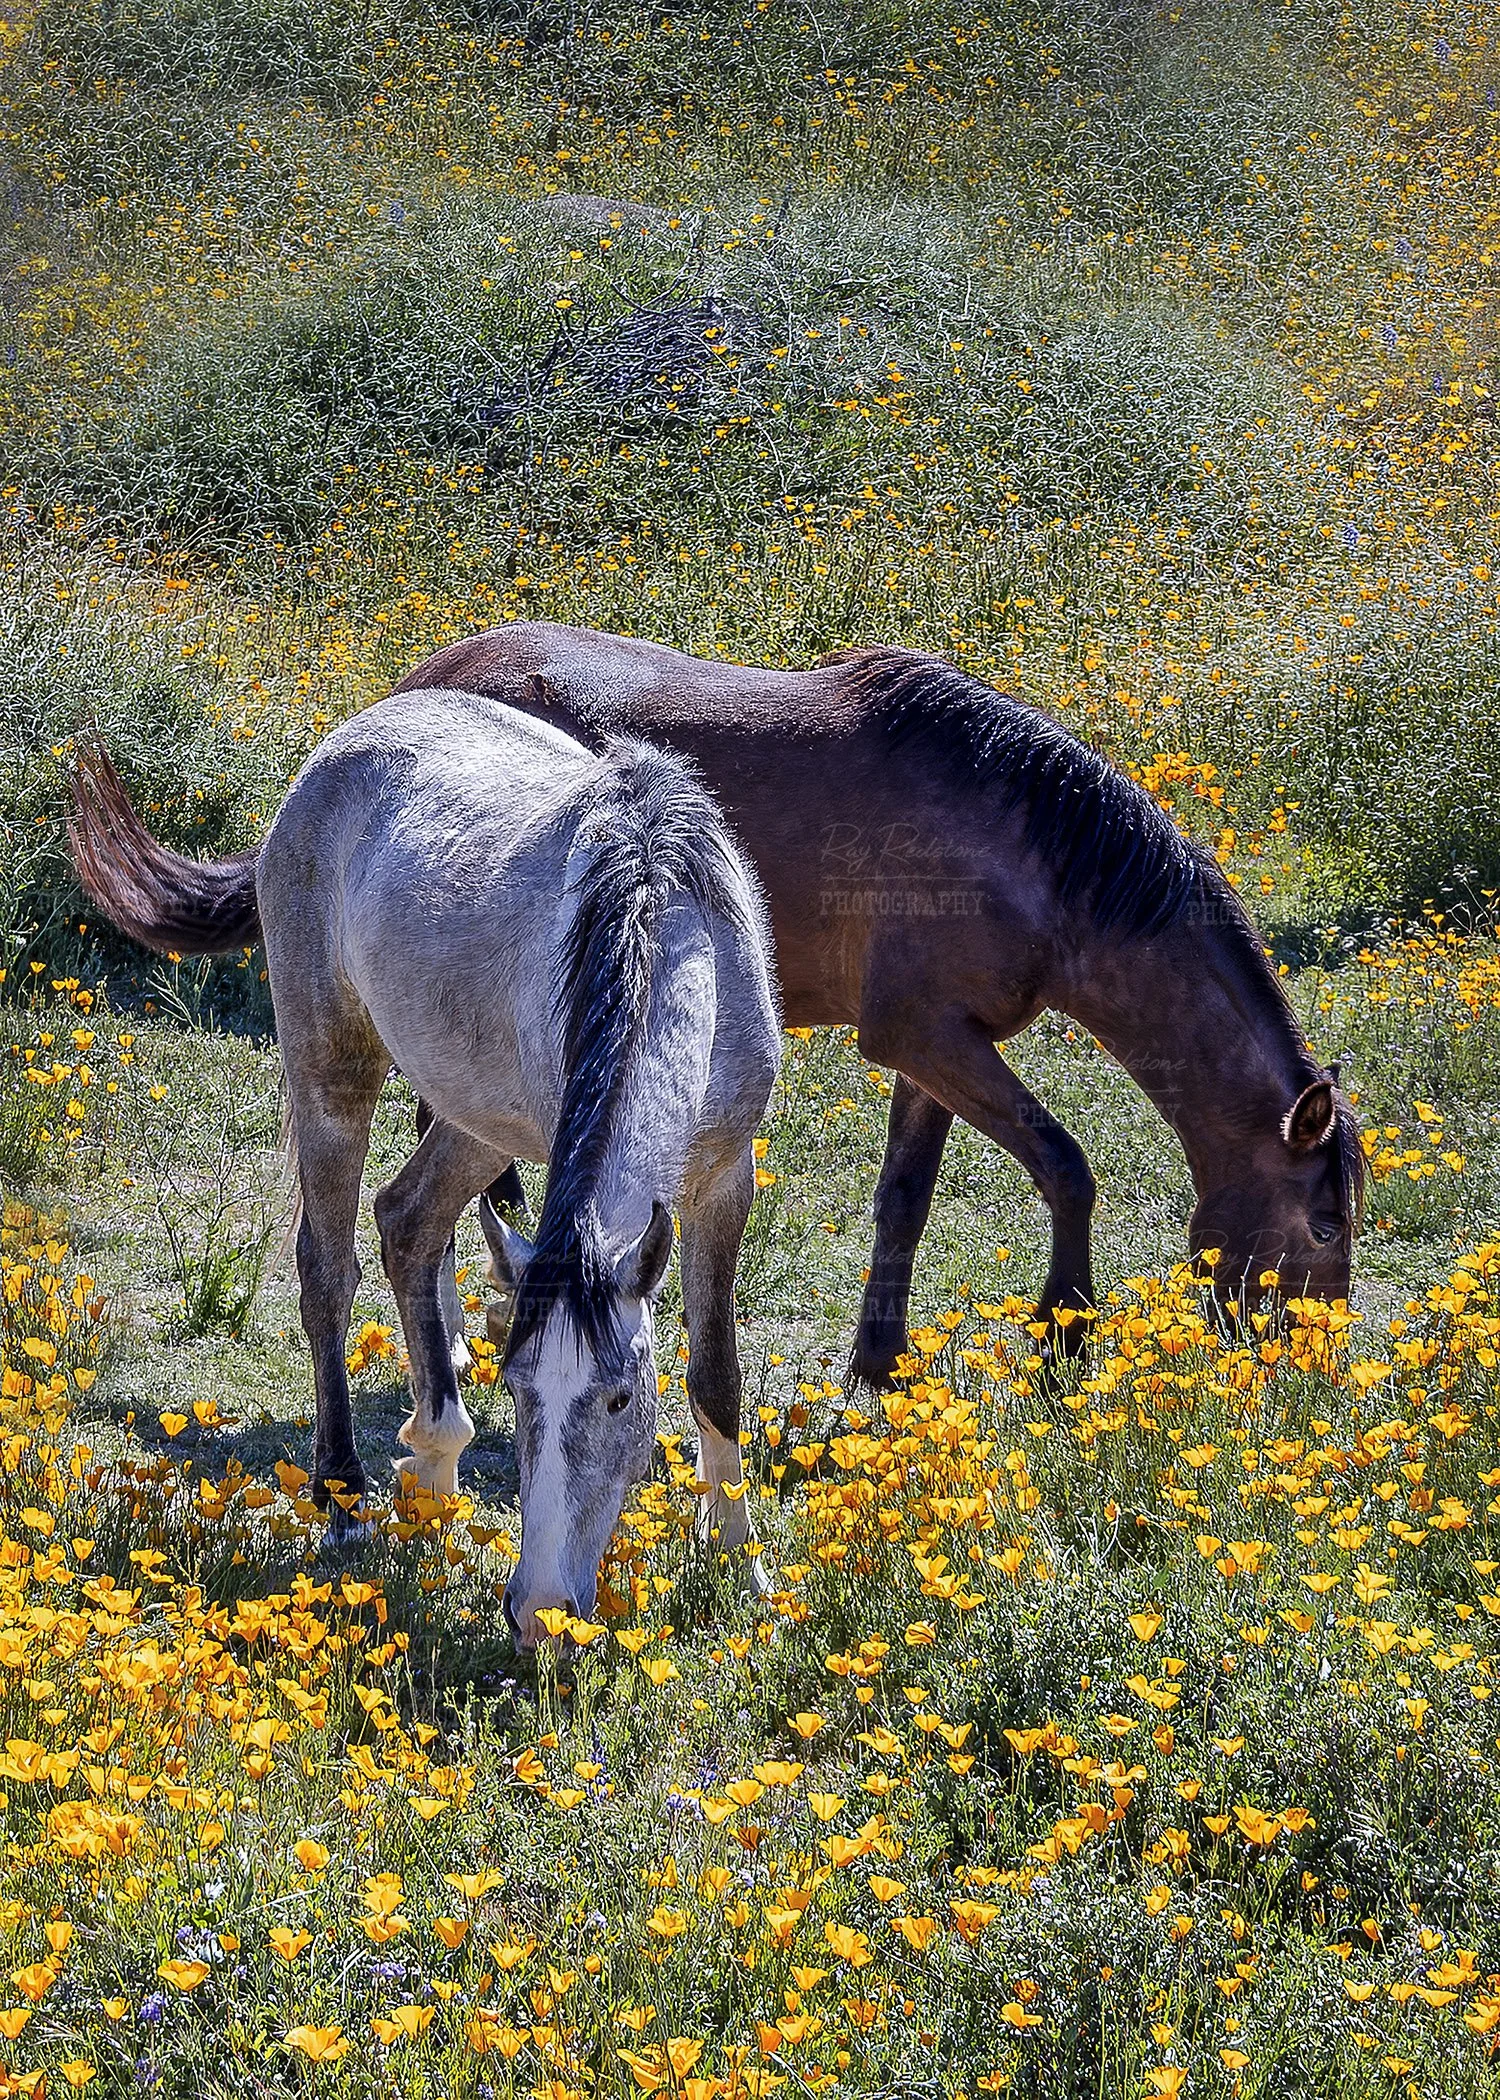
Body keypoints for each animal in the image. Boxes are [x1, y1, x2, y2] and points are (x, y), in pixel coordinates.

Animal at [68, 692, 781, 1646]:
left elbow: (717, 1374)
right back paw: (347, 1498)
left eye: (621, 1401)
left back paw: (436, 1473)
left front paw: (740, 1564)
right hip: (335, 1072)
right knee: (329, 1267)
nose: (540, 1613)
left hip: (471, 1120)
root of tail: (339, 746)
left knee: (408, 1222)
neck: (666, 926)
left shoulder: (725, 1177)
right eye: (519, 1388)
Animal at [391, 623, 1364, 1380]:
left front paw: (882, 1358)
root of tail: (418, 685)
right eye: (1323, 1225)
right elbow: (1066, 1168)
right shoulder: (924, 1037)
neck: (1030, 855)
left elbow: (906, 1199)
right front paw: (1061, 1344)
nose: (1308, 1359)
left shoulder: (936, 1053)